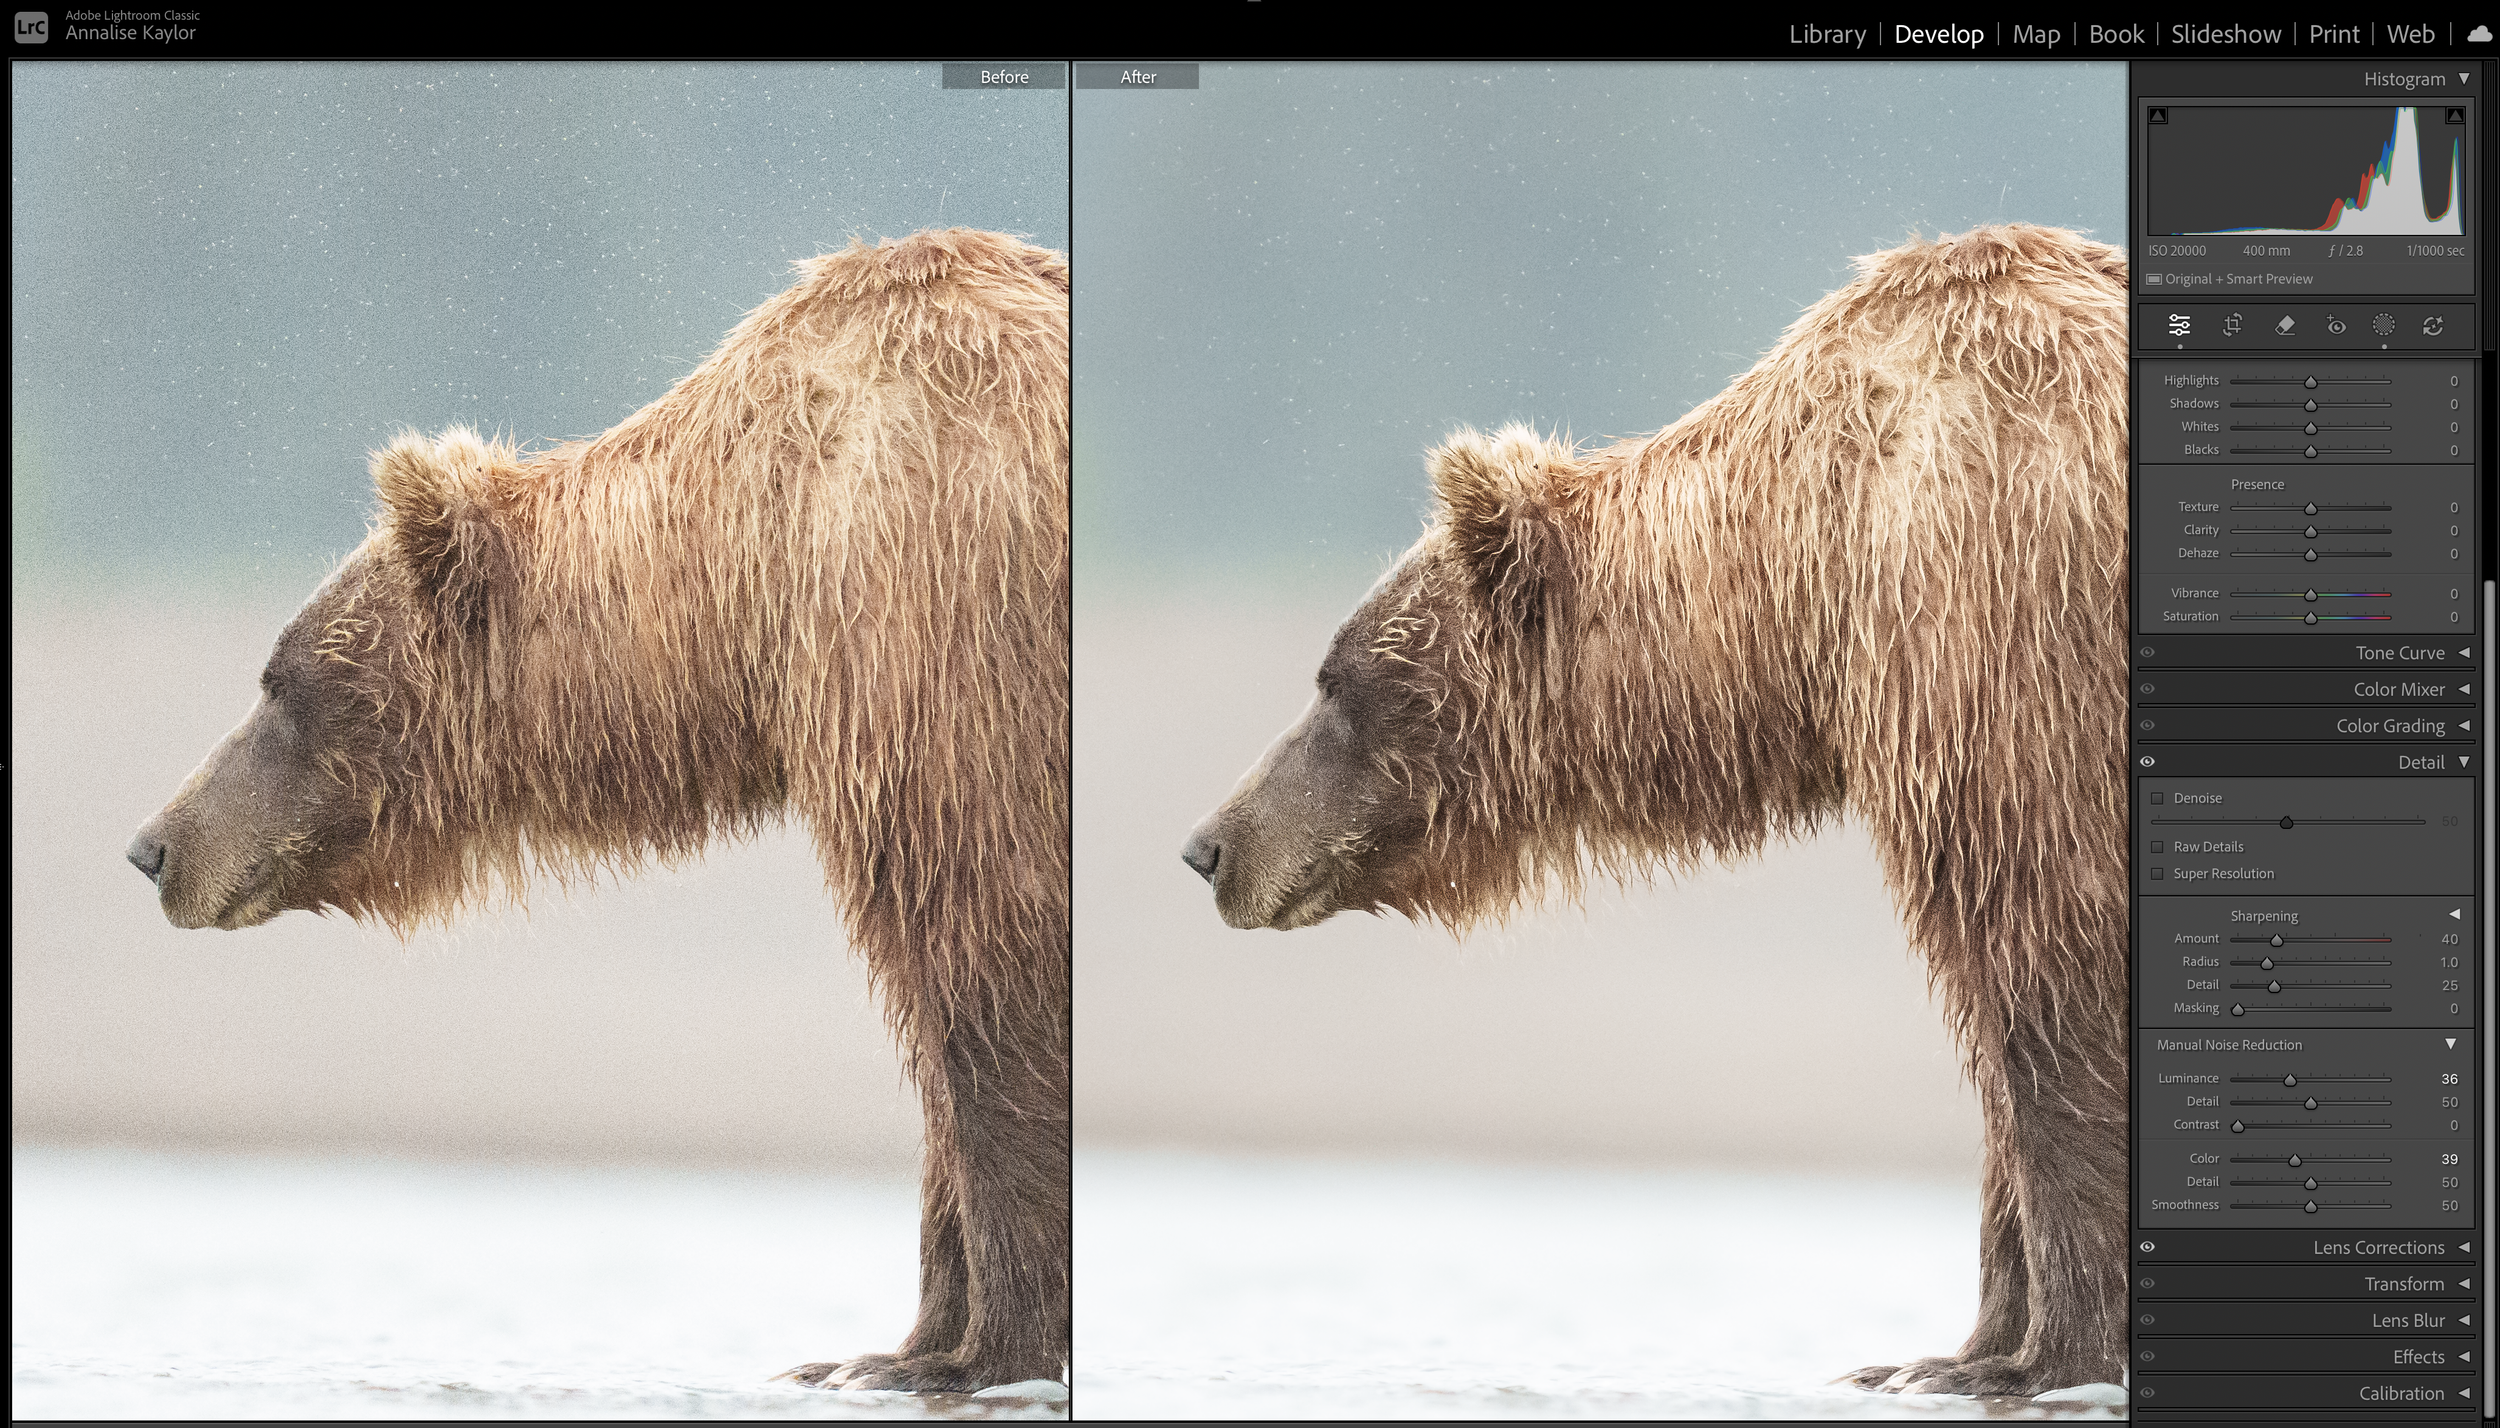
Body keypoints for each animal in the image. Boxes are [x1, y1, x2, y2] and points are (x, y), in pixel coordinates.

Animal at [125, 228, 1070, 1395]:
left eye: (276, 681)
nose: (156, 844)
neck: (742, 575)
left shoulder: (933, 633)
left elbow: (982, 976)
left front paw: (972, 1351)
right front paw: (878, 1350)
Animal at [1181, 224, 2129, 1398]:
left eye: (1333, 681)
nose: (1210, 844)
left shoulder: (1995, 630)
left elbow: (2041, 977)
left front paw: (2035, 1355)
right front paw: (1937, 1354)